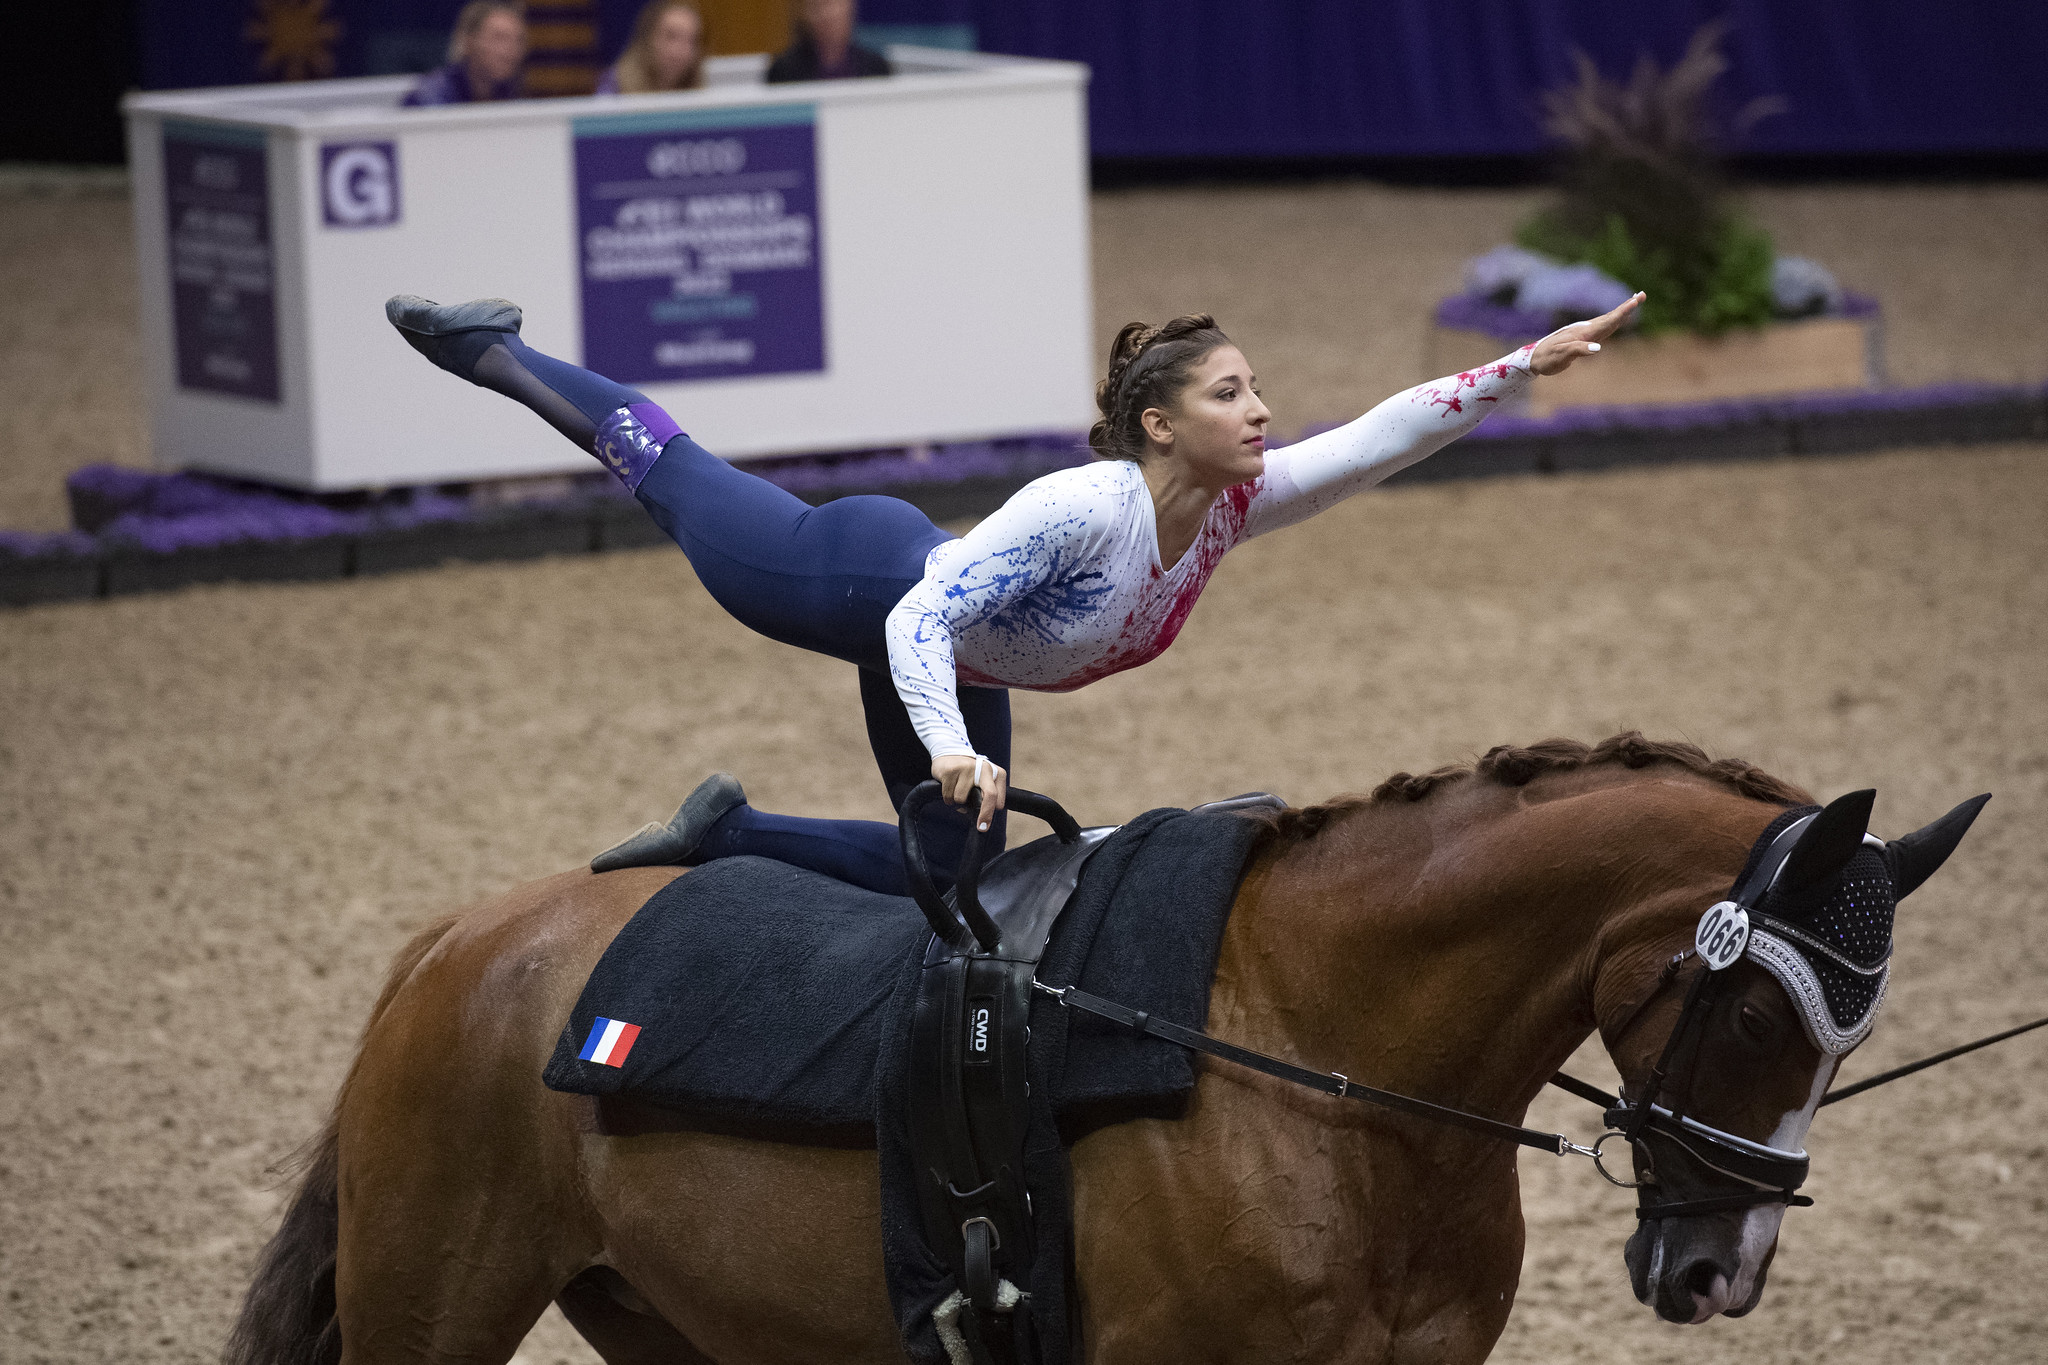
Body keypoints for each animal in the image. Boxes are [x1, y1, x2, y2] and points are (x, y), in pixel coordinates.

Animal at [220, 736, 1982, 1365]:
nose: (1719, 1268)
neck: (1316, 1062)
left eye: (1855, 1034)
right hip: (433, 1316)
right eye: (1754, 1009)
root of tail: (459, 946)